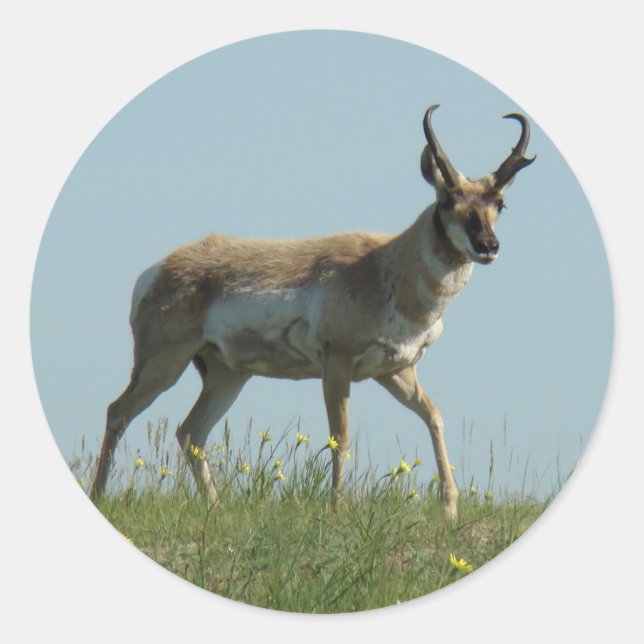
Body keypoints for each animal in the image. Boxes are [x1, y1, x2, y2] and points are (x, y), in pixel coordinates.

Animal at [90, 105, 534, 520]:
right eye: (446, 201)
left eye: (500, 204)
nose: (488, 246)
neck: (385, 265)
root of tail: (156, 270)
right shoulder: (337, 363)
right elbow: (342, 436)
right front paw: (337, 508)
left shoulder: (396, 371)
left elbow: (435, 417)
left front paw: (449, 508)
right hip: (163, 363)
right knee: (119, 411)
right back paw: (99, 494)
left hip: (227, 374)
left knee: (189, 432)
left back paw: (215, 506)